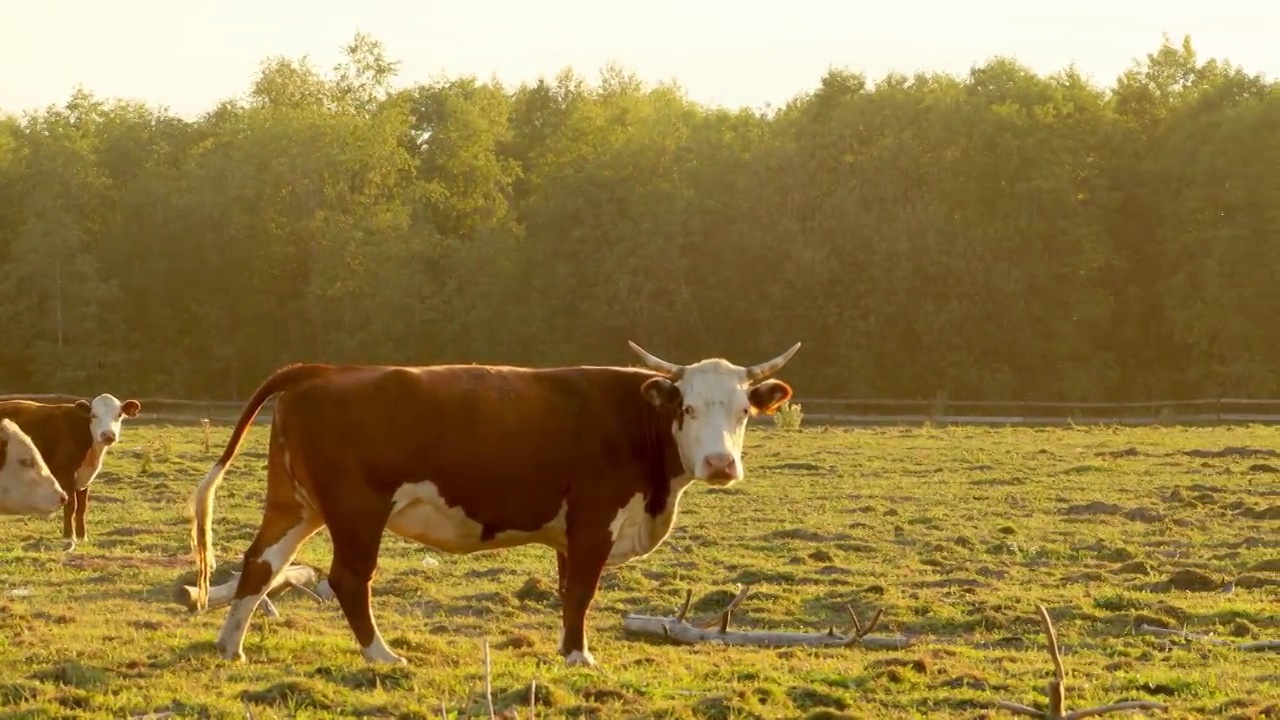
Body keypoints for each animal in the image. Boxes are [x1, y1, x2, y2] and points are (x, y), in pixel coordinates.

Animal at [0, 389, 142, 545]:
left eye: (119, 415)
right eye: (93, 415)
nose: (108, 435)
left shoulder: (84, 479)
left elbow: (82, 508)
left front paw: (82, 536)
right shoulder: (65, 475)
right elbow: (70, 506)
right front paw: (69, 536)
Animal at [186, 338, 798, 666]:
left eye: (744, 411)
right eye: (687, 409)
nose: (720, 464)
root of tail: (322, 371)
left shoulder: (569, 531)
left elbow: (566, 592)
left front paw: (565, 650)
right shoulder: (595, 521)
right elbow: (582, 591)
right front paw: (579, 656)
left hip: (293, 505)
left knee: (259, 564)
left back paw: (230, 646)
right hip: (356, 513)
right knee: (347, 579)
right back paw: (381, 654)